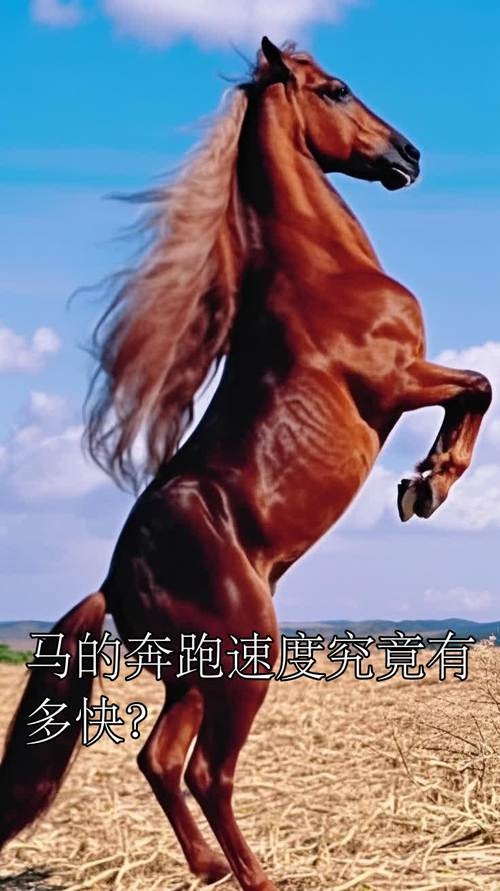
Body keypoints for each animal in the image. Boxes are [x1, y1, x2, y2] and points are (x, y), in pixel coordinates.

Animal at [0, 37, 492, 891]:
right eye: (336, 89)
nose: (409, 155)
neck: (323, 271)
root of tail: (114, 580)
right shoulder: (398, 380)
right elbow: (481, 386)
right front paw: (426, 483)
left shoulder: (408, 380)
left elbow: (477, 389)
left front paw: (422, 483)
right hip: (243, 657)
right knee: (206, 770)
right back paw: (254, 875)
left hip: (193, 675)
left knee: (159, 759)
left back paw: (206, 866)